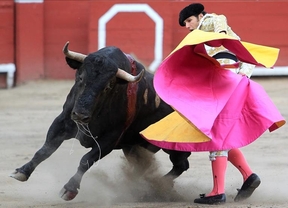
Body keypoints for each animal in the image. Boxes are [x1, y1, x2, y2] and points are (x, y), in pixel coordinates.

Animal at [11, 41, 191, 200]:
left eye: (107, 87)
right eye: (80, 78)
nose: (81, 115)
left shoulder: (110, 139)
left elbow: (86, 160)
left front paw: (70, 189)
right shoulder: (62, 122)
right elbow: (45, 150)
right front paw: (22, 171)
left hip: (174, 146)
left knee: (181, 165)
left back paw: (157, 185)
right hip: (132, 147)